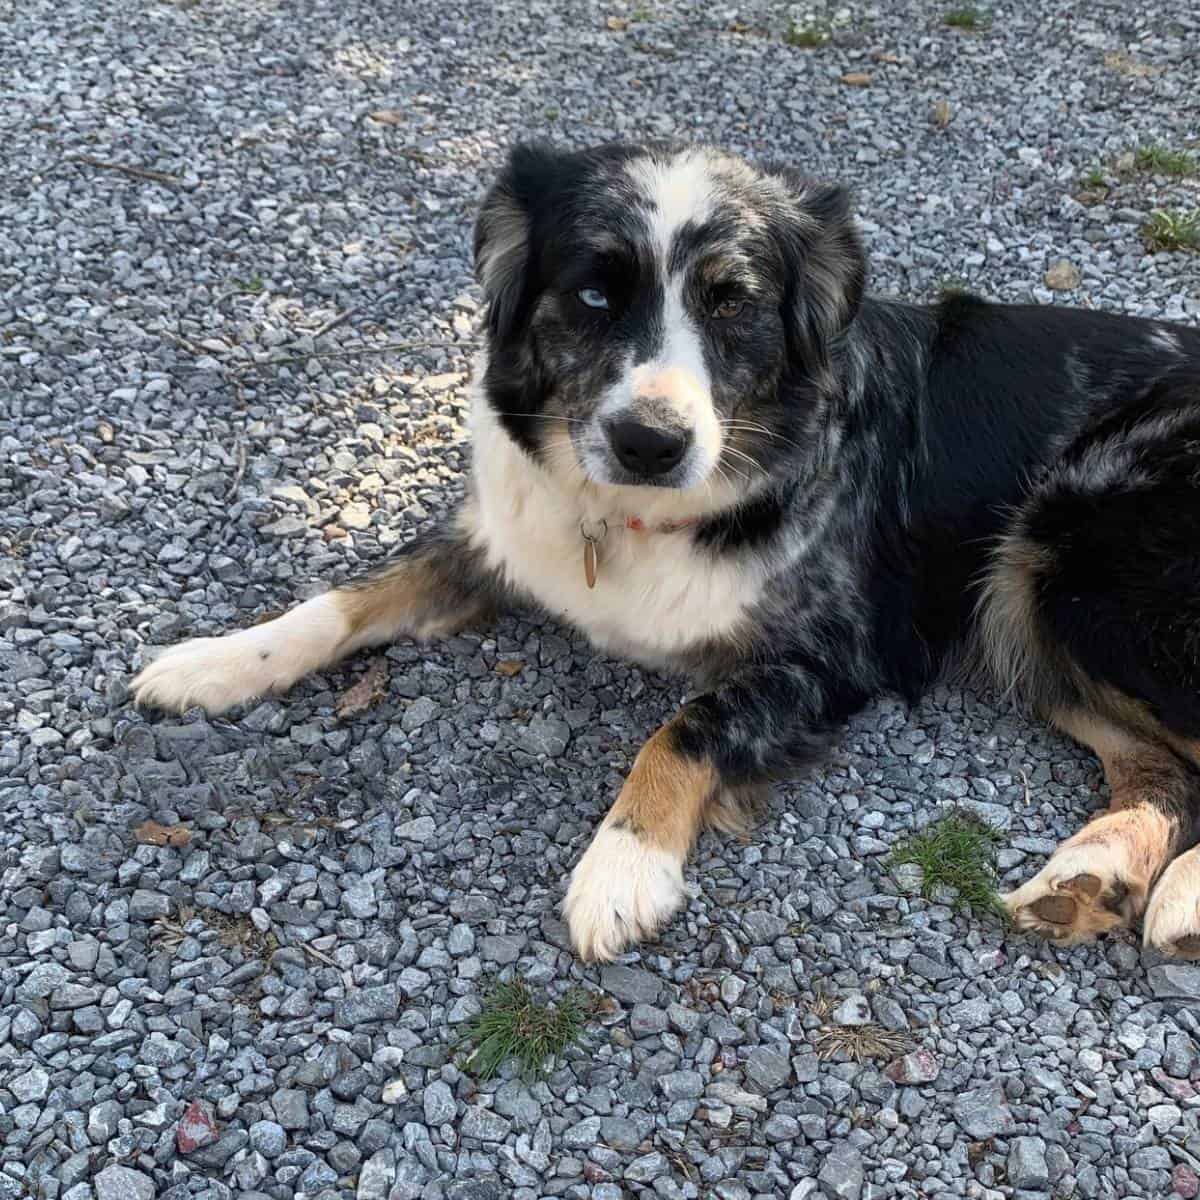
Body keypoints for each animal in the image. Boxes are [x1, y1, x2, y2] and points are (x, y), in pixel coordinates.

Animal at [131, 140, 1200, 964]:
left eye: (732, 304)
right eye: (594, 293)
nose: (651, 441)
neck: (634, 514)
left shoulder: (836, 657)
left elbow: (686, 723)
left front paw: (622, 864)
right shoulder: (503, 539)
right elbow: (349, 596)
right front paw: (215, 661)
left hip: (1074, 550)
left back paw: (1173, 897)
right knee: (1165, 770)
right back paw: (1096, 874)